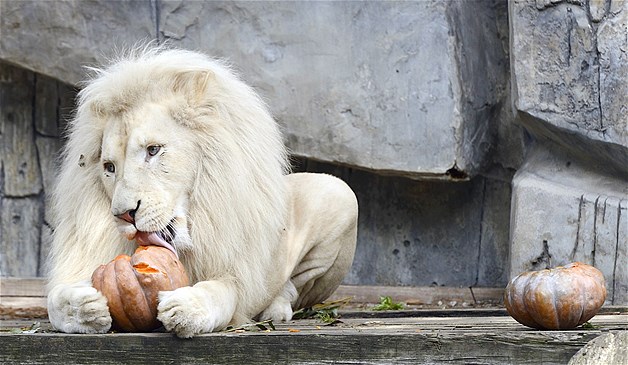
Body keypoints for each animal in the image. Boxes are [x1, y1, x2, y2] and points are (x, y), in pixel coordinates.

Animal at [44, 47, 358, 336]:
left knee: (293, 289)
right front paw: (82, 307)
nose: (124, 215)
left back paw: (275, 310)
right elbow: (53, 300)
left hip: (341, 194)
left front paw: (186, 308)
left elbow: (220, 292)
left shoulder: (236, 273)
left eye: (153, 150)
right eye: (109, 167)